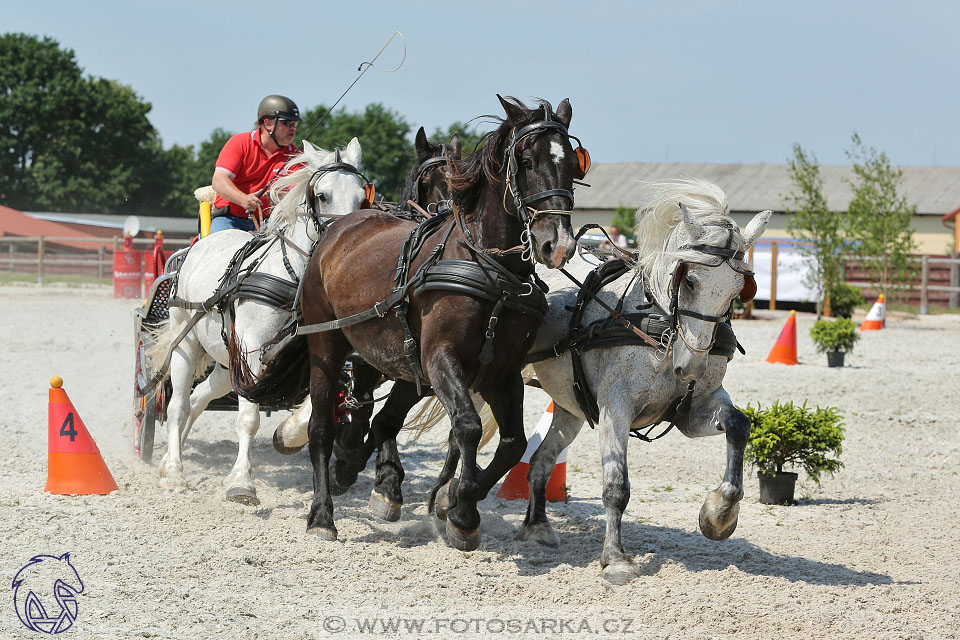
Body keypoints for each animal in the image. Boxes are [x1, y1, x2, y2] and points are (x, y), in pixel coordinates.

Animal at [152, 138, 366, 502]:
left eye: (363, 197)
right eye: (322, 196)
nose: (346, 240)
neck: (293, 277)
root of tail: (200, 246)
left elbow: (313, 408)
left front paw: (288, 436)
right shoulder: (251, 353)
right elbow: (248, 419)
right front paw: (241, 481)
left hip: (226, 364)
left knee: (197, 399)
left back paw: (169, 458)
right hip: (187, 341)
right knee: (177, 405)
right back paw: (175, 471)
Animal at [239, 95, 584, 552]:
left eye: (574, 165)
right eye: (526, 162)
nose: (558, 244)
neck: (490, 268)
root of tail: (335, 231)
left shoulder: (501, 370)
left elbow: (512, 445)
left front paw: (455, 503)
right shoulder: (439, 357)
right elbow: (467, 427)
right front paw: (459, 511)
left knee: (376, 417)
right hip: (327, 345)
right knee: (320, 428)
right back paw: (323, 514)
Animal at [516, 179, 772, 584]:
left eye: (739, 290)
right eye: (690, 280)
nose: (692, 366)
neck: (661, 328)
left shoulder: (692, 411)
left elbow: (738, 424)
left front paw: (718, 514)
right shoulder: (614, 410)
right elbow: (616, 486)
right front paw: (615, 558)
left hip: (570, 408)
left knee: (541, 461)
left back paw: (537, 525)